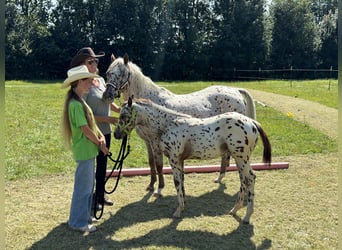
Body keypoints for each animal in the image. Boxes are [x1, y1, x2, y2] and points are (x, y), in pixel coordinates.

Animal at [103, 53, 255, 196]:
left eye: (122, 74)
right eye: (108, 73)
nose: (107, 95)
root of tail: (235, 90)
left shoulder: (155, 142)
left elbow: (159, 165)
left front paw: (159, 189)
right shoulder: (147, 142)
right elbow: (151, 163)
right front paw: (151, 185)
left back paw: (221, 177)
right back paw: (219, 178)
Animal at [113, 96, 272, 224]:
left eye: (124, 116)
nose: (116, 135)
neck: (167, 124)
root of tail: (252, 122)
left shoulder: (174, 159)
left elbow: (177, 182)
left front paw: (178, 211)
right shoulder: (180, 160)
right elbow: (182, 181)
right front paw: (183, 205)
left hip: (241, 157)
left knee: (250, 178)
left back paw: (246, 216)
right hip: (240, 159)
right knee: (244, 180)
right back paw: (234, 210)